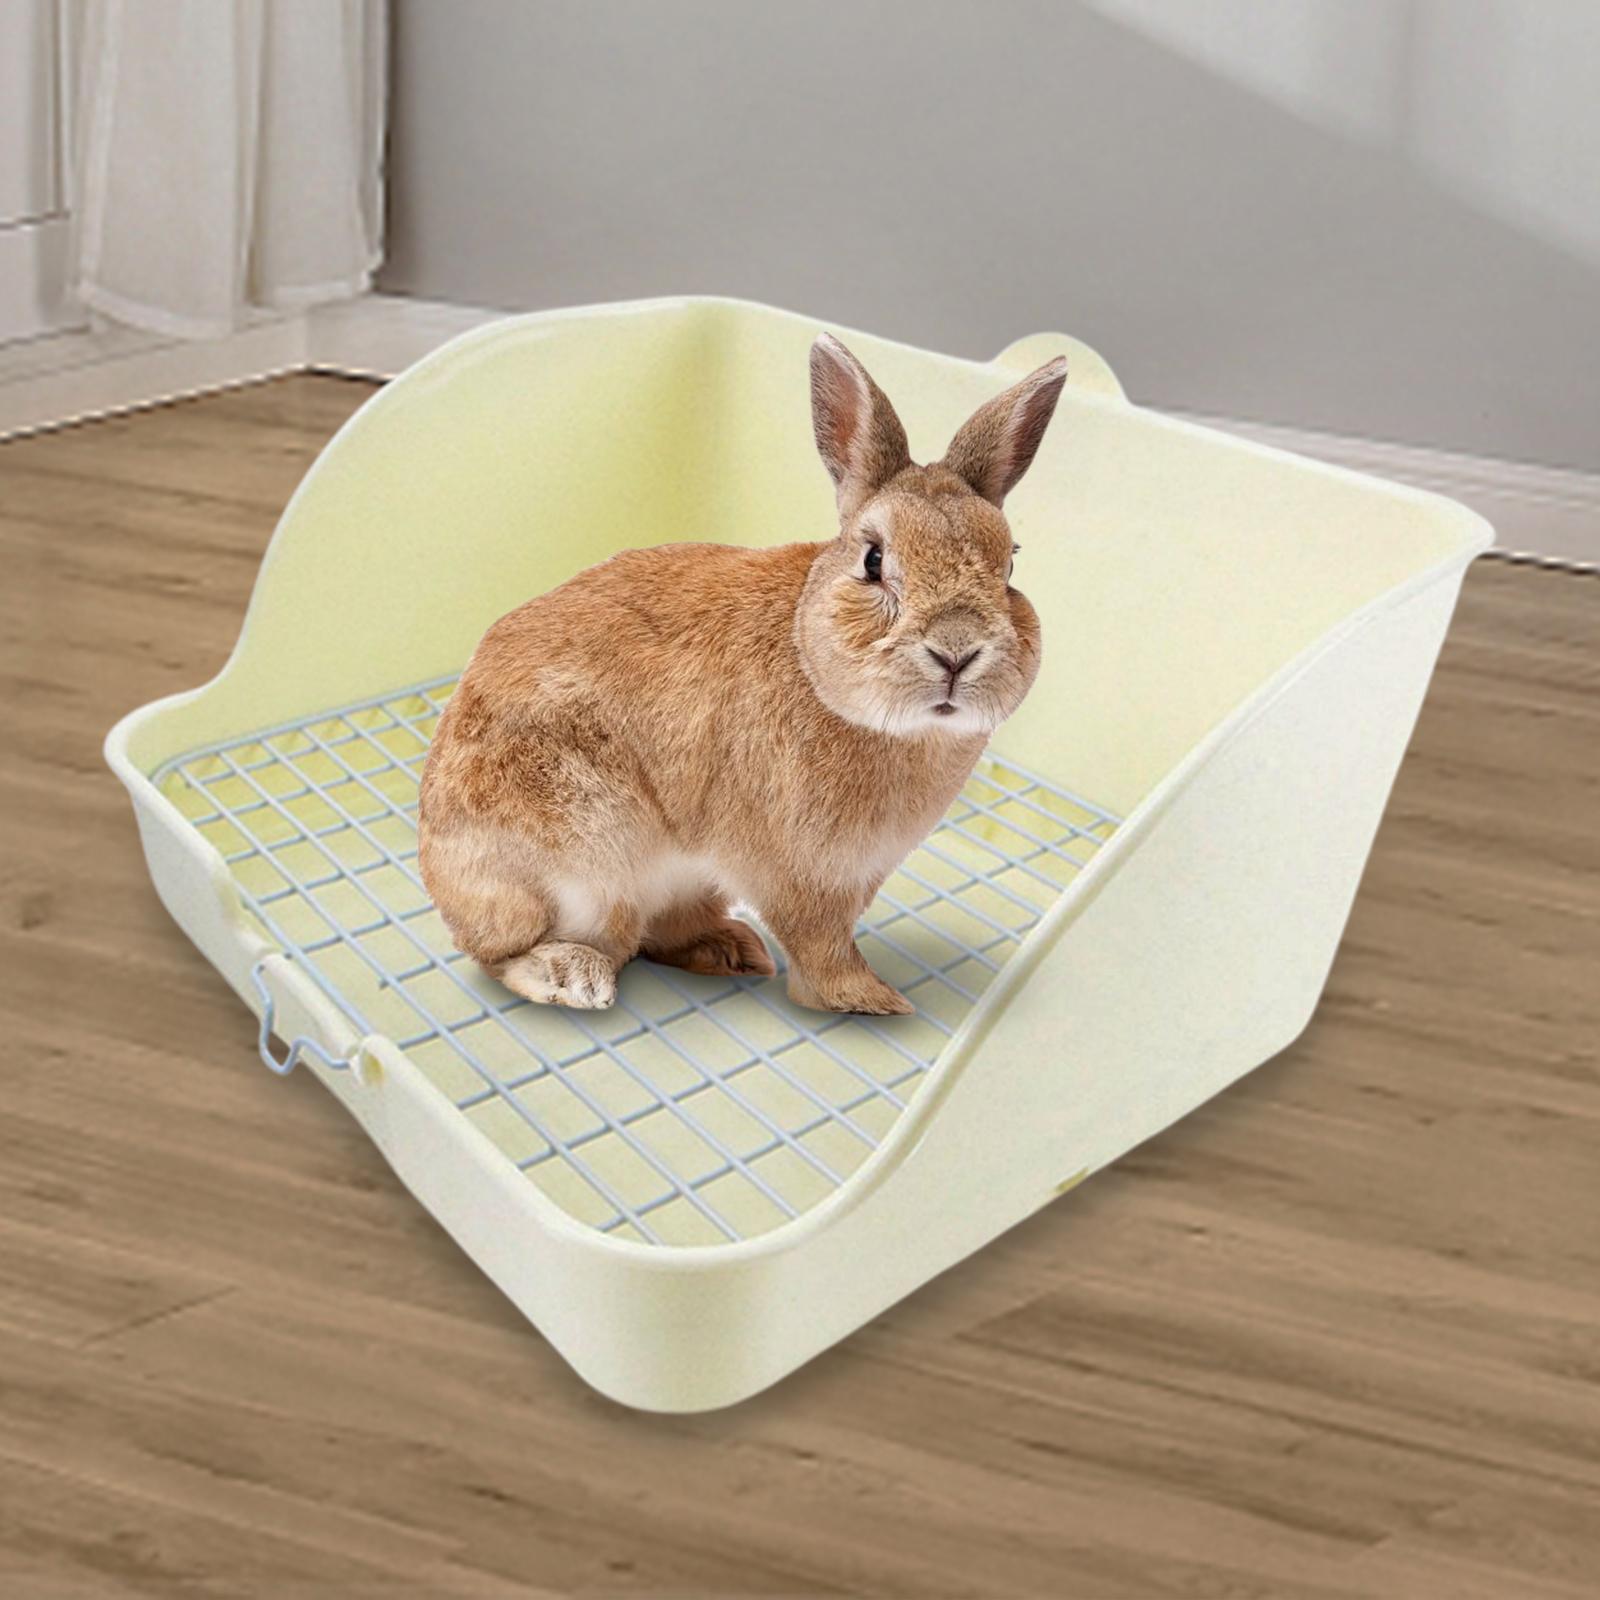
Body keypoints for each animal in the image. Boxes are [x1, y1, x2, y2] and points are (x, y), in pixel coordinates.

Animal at [417, 333, 1068, 1015]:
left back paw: (730, 951)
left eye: (1010, 565)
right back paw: (574, 977)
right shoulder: (796, 872)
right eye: (873, 560)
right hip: (581, 866)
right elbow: (820, 945)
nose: (957, 651)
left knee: (659, 932)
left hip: (678, 880)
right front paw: (871, 1001)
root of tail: (434, 867)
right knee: (507, 953)